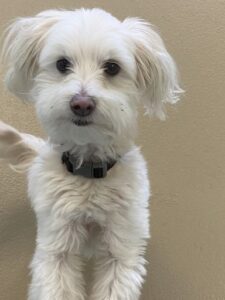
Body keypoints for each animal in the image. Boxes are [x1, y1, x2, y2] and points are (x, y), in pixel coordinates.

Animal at [0, 7, 182, 300]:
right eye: (62, 64)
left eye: (112, 67)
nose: (81, 103)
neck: (89, 170)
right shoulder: (57, 248)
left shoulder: (122, 248)